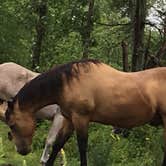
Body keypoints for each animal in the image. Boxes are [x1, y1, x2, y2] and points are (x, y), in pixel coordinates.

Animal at [4, 59, 165, 166]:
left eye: (12, 125)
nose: (22, 151)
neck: (68, 83)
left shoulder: (81, 119)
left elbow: (82, 147)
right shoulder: (69, 119)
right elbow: (58, 144)